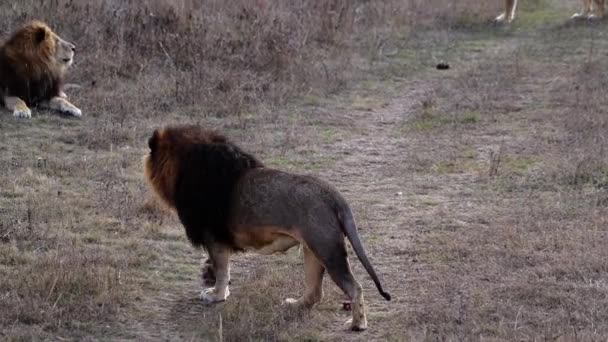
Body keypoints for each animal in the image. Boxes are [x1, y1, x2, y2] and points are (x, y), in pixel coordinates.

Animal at [142, 125, 390, 332]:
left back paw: (357, 324)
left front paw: (216, 295)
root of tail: (333, 195)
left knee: (354, 287)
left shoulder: (214, 237)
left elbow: (222, 270)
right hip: (313, 249)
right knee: (314, 293)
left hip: (327, 249)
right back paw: (294, 304)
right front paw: (211, 279)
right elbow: (219, 268)